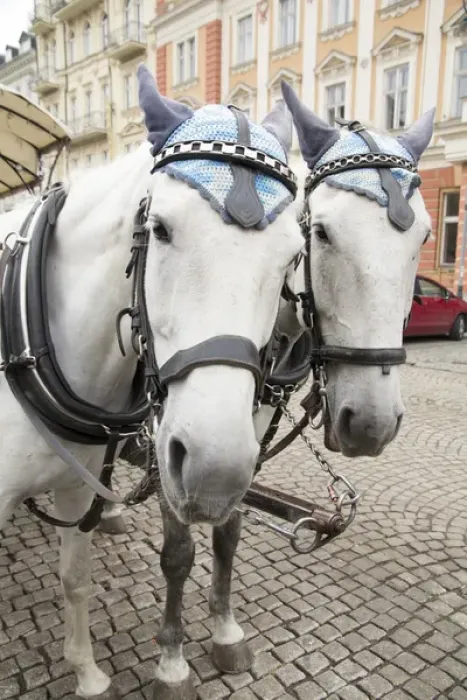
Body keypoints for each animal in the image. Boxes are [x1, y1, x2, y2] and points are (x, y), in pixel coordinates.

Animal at [0, 65, 304, 699]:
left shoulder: (79, 484)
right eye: (159, 229)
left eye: (292, 254)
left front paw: (87, 673)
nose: (215, 471)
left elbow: (75, 577)